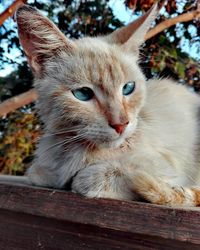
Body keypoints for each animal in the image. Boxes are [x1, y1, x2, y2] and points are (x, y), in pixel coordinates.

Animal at [0, 4, 200, 207]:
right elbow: (40, 174)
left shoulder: (168, 170)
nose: (121, 124)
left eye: (128, 88)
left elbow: (112, 175)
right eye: (83, 94)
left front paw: (82, 178)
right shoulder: (41, 168)